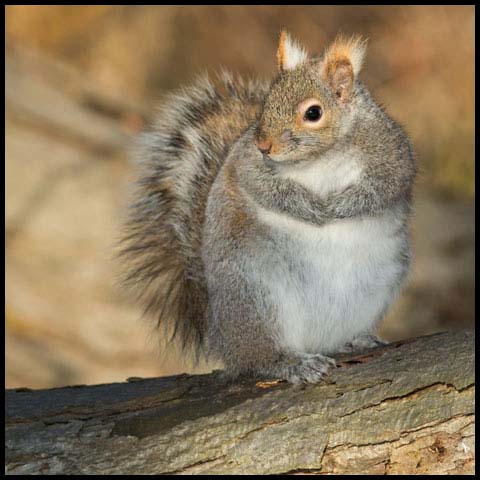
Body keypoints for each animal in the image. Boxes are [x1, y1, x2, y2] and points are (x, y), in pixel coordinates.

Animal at [120, 31, 416, 382]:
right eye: (266, 103)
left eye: (313, 113)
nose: (264, 144)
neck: (322, 157)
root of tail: (220, 334)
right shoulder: (246, 161)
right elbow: (263, 187)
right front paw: (310, 208)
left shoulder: (391, 151)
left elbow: (385, 185)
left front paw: (339, 206)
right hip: (255, 300)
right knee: (258, 357)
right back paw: (292, 363)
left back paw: (356, 340)